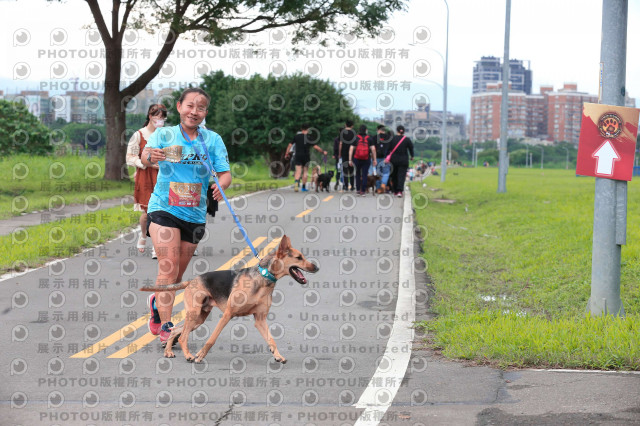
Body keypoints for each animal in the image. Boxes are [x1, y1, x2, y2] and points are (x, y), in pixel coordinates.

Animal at [142, 236, 318, 362]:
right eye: (299, 257)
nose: (317, 267)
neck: (263, 278)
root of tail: (192, 280)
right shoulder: (227, 314)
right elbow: (212, 339)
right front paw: (200, 355)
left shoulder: (260, 320)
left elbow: (271, 340)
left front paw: (278, 356)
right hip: (194, 314)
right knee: (183, 336)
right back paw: (188, 356)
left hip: (199, 318)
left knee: (176, 330)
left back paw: (168, 352)